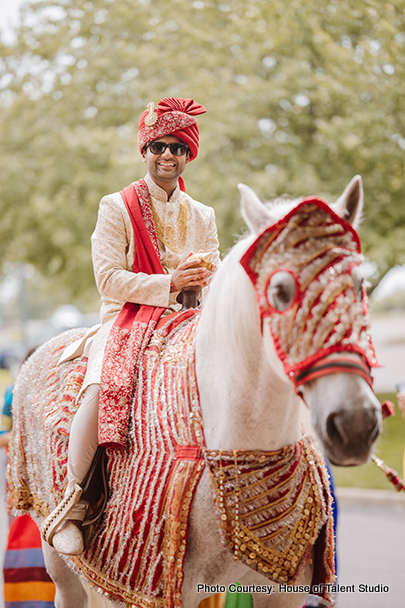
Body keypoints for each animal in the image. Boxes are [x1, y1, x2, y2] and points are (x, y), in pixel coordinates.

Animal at [10, 173, 382, 604]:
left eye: (361, 283)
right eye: (280, 292)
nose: (355, 424)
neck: (242, 438)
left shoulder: (283, 590)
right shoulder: (157, 588)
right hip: (60, 559)